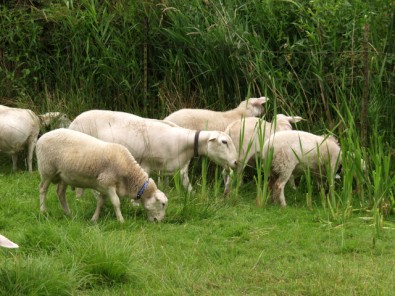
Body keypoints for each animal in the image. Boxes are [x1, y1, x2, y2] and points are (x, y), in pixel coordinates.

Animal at [35, 128, 169, 223]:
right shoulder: (108, 183)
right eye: (163, 204)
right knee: (42, 189)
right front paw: (121, 220)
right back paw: (43, 211)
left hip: (63, 175)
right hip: (47, 169)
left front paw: (94, 219)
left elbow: (100, 203)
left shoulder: (104, 187)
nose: (160, 221)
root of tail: (41, 138)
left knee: (60, 193)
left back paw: (69, 213)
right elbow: (116, 202)